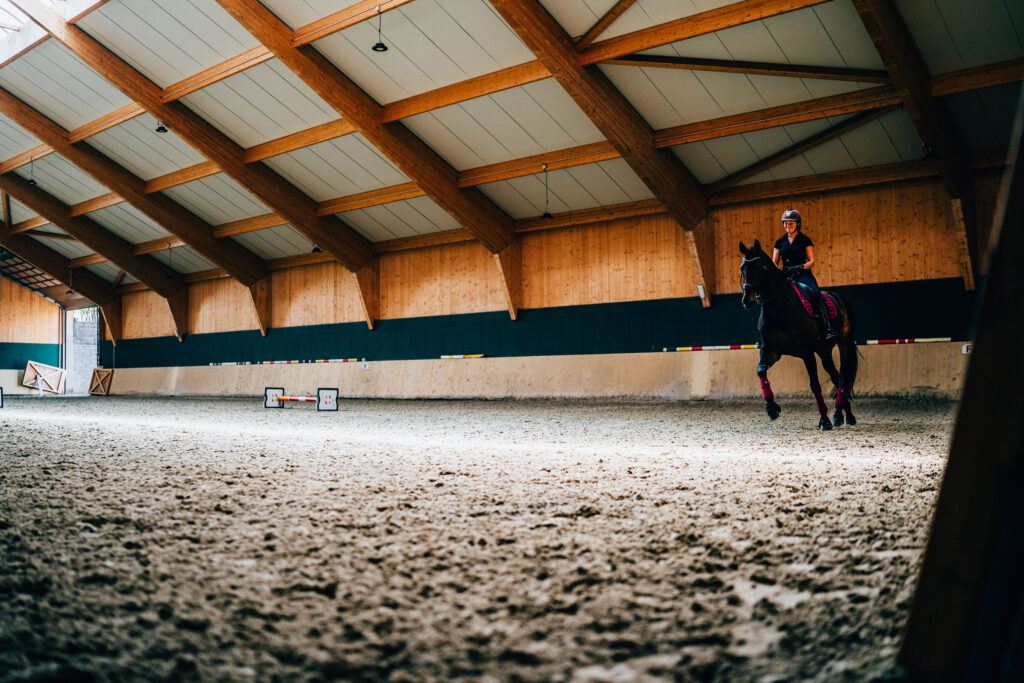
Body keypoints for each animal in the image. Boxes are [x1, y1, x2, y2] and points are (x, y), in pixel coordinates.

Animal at [741, 242, 860, 430]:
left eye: (760, 266)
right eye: (742, 268)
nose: (748, 299)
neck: (779, 310)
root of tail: (838, 296)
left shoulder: (807, 353)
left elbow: (815, 385)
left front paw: (824, 420)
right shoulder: (770, 351)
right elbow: (760, 371)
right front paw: (772, 409)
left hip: (844, 343)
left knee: (842, 377)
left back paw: (842, 416)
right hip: (824, 350)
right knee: (835, 376)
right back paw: (842, 415)